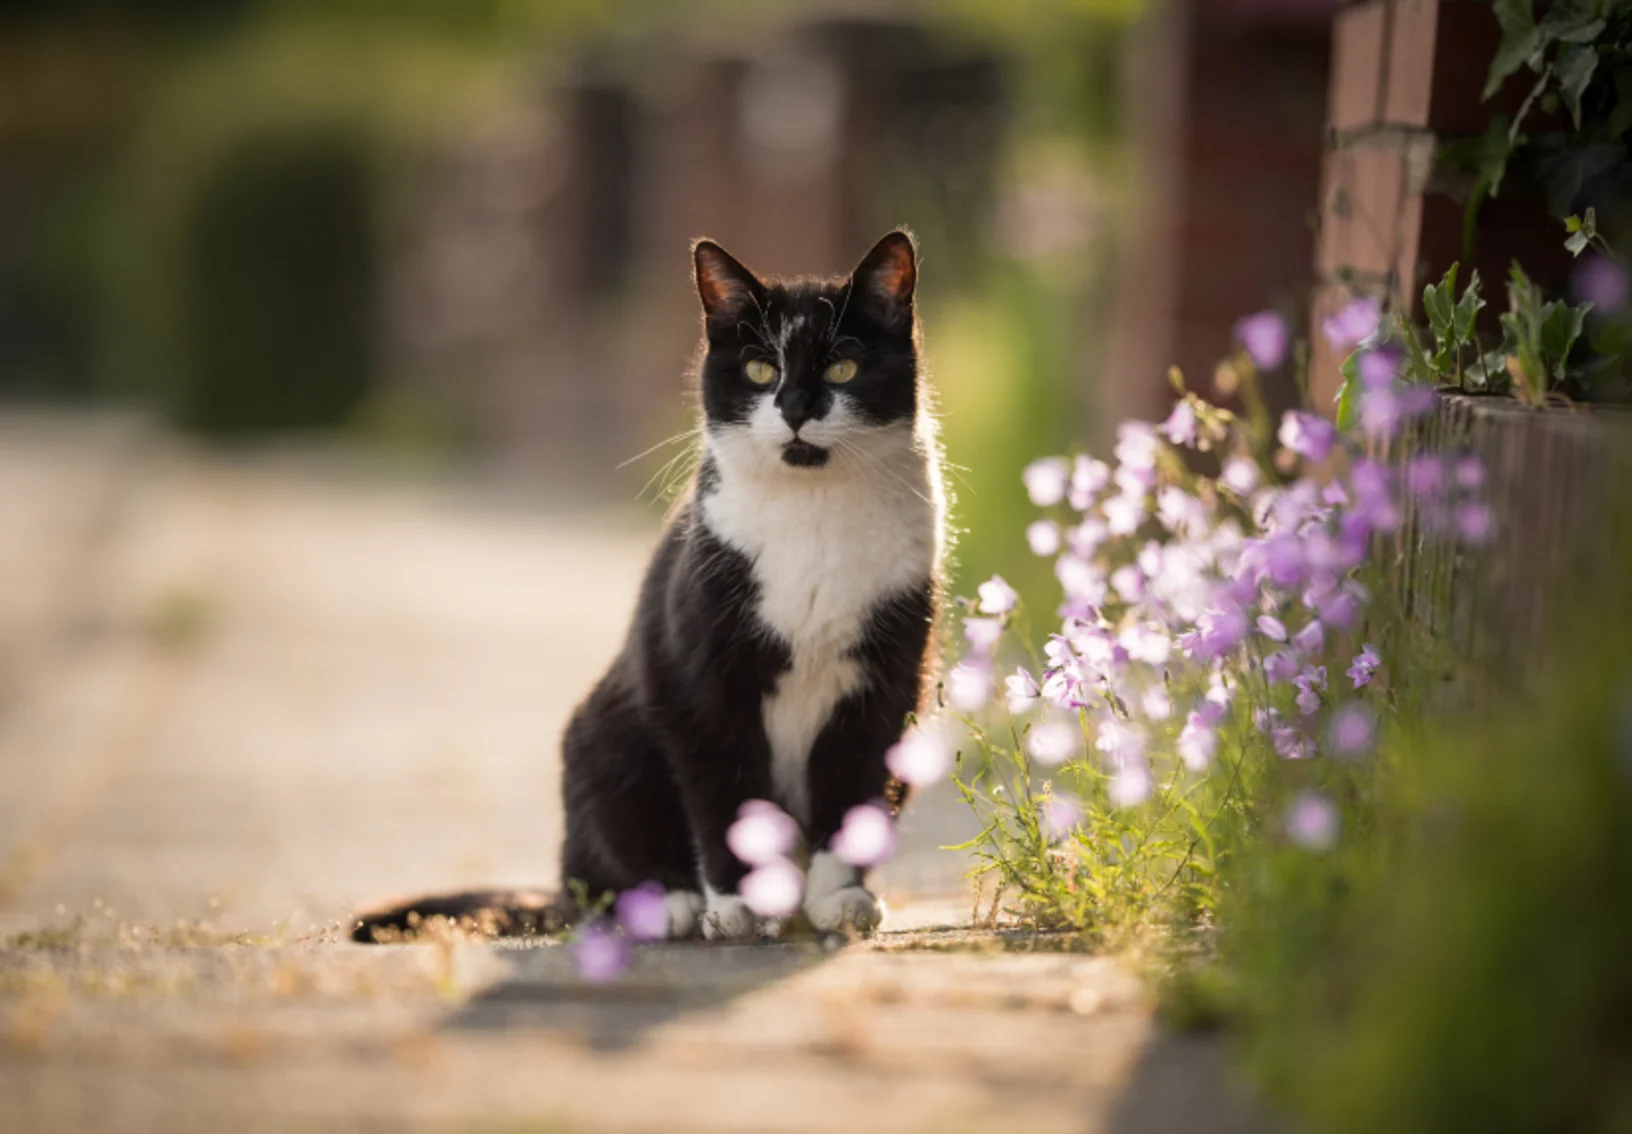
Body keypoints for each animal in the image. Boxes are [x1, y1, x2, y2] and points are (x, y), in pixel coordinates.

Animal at [354, 228, 946, 939]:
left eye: (842, 369)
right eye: (759, 371)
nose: (796, 410)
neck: (815, 513)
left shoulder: (887, 682)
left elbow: (856, 788)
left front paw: (840, 898)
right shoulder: (698, 680)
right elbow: (724, 798)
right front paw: (740, 905)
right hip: (605, 738)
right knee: (595, 878)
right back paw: (669, 905)